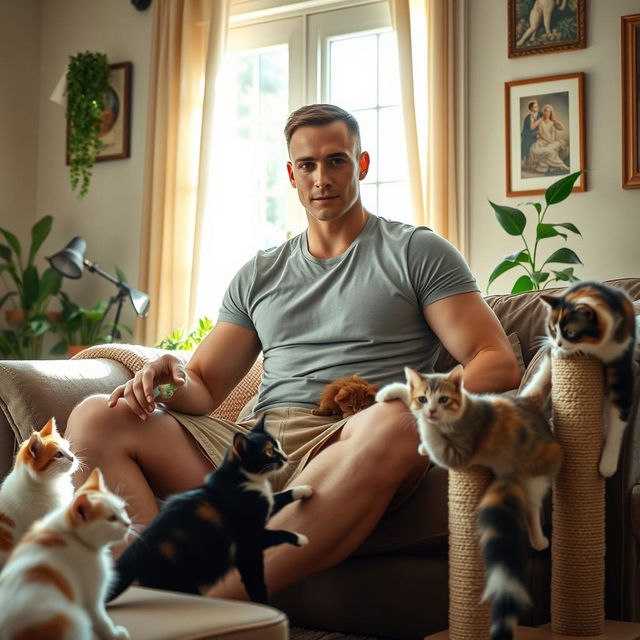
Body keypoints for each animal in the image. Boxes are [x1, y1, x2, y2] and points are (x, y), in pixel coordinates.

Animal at [0, 468, 131, 640]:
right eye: (111, 518)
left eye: (122, 510)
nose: (128, 524)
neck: (70, 534)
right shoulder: (92, 599)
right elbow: (103, 621)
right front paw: (115, 635)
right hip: (77, 618)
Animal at [107, 416, 312, 604]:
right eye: (269, 451)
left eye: (279, 446)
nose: (285, 457)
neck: (242, 479)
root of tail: (133, 553)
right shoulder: (248, 541)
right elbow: (261, 567)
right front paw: (300, 538)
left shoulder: (264, 506)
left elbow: (279, 498)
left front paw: (304, 489)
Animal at [378, 364, 564, 640]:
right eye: (423, 398)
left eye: (443, 400)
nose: (431, 410)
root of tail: (528, 405)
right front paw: (396, 392)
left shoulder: (458, 453)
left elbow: (432, 435)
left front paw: (424, 429)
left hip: (532, 476)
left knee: (531, 507)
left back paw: (538, 540)